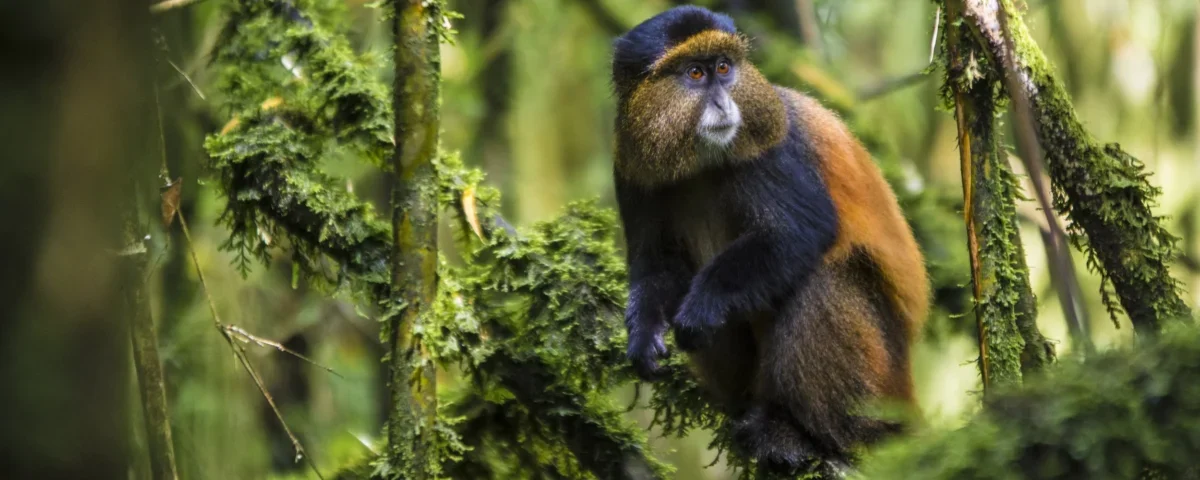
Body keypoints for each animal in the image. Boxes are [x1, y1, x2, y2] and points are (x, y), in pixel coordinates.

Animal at [610, 6, 930, 474]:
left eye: (724, 68)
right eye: (695, 73)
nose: (724, 102)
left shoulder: (773, 148)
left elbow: (798, 233)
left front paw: (702, 307)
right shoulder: (631, 167)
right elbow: (657, 262)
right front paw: (644, 333)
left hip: (880, 380)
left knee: (822, 278)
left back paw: (802, 434)